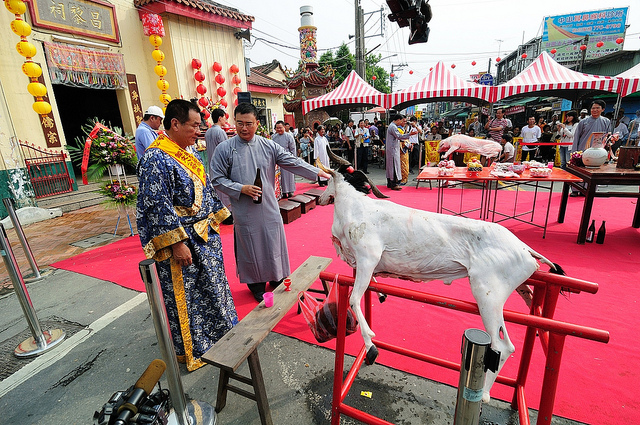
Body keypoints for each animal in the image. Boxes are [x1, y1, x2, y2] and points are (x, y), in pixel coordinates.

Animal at [316, 149, 560, 400]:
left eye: (328, 179)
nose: (320, 199)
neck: (356, 209)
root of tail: (525, 249)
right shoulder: (366, 266)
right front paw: (382, 296)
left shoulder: (368, 258)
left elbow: (354, 299)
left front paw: (371, 346)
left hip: (488, 296)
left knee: (502, 346)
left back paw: (483, 393)